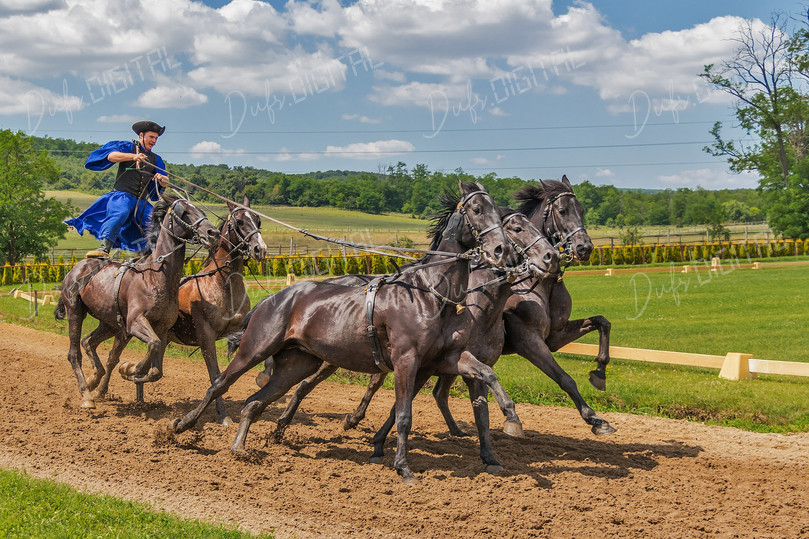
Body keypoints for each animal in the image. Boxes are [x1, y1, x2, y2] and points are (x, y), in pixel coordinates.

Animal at [54, 194, 219, 409]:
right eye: (184, 212)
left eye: (200, 210)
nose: (213, 233)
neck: (155, 276)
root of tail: (76, 268)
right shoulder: (135, 323)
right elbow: (153, 345)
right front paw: (131, 368)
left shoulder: (162, 328)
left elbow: (156, 370)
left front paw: (130, 370)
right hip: (75, 311)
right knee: (74, 353)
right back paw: (87, 395)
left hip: (110, 323)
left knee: (89, 342)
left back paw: (94, 380)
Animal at [167, 197, 267, 425]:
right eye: (239, 222)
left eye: (258, 220)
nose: (260, 249)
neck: (223, 285)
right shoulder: (206, 337)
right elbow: (215, 375)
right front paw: (224, 416)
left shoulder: (239, 329)